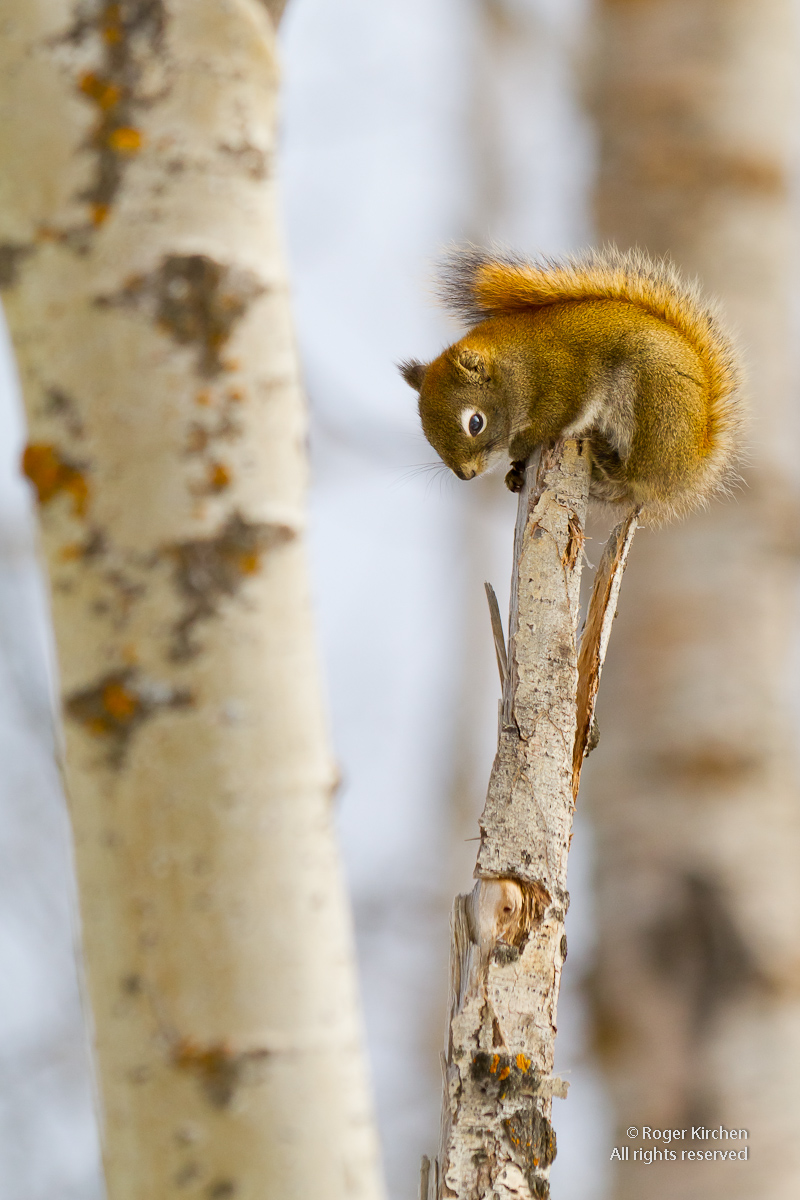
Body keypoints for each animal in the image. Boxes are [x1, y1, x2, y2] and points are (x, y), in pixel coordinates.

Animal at [400, 246, 744, 521]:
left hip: (653, 406)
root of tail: (690, 468)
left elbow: (557, 418)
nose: (466, 475)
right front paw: (513, 472)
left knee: (633, 472)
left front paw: (521, 447)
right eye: (427, 434)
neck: (519, 367)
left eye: (475, 423)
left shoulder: (567, 380)